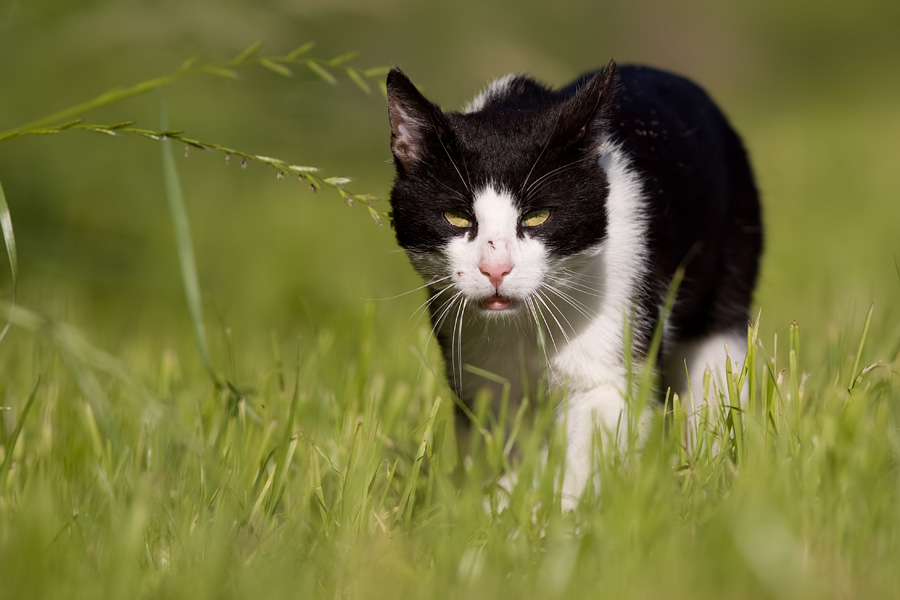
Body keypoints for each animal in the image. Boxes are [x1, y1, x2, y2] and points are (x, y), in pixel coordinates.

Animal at [384, 61, 764, 508]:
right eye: (456, 217)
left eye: (538, 217)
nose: (496, 269)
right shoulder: (479, 373)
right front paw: (494, 511)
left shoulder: (612, 351)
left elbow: (586, 455)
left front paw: (555, 520)